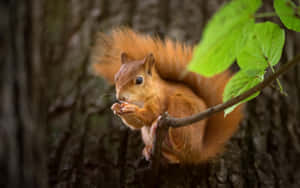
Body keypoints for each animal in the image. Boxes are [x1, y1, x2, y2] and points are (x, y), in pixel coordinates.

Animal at [91, 27, 244, 163]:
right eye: (116, 77)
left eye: (139, 80)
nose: (120, 97)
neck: (143, 97)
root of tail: (197, 153)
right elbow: (136, 124)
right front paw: (117, 108)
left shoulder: (160, 99)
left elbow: (150, 114)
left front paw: (131, 109)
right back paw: (150, 150)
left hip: (180, 111)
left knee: (179, 144)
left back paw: (157, 128)